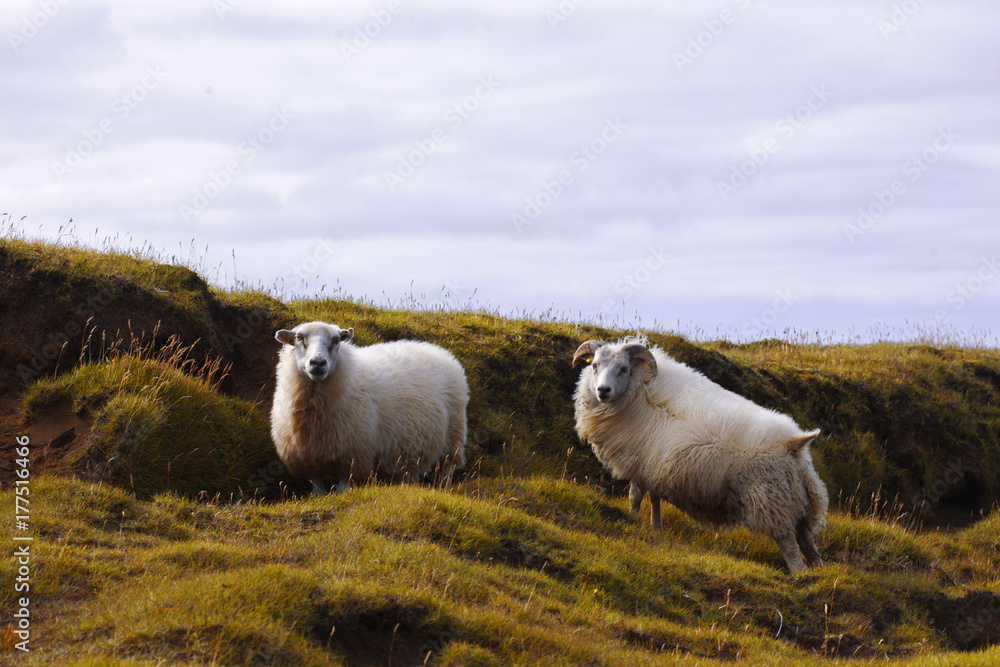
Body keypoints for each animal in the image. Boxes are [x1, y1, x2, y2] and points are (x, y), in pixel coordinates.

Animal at [270, 321, 468, 495]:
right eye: (299, 337)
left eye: (336, 340)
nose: (318, 363)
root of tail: (436, 349)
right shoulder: (308, 456)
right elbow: (317, 489)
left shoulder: (352, 454)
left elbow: (343, 488)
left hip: (453, 437)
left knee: (448, 468)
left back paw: (445, 488)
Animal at [572, 337, 828, 572]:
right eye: (594, 365)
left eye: (624, 369)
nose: (603, 390)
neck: (640, 393)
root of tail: (794, 443)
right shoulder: (654, 465)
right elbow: (654, 499)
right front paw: (656, 526)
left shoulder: (638, 462)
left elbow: (635, 496)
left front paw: (633, 518)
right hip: (802, 500)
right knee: (809, 543)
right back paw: (819, 574)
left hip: (772, 503)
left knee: (791, 549)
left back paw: (799, 575)